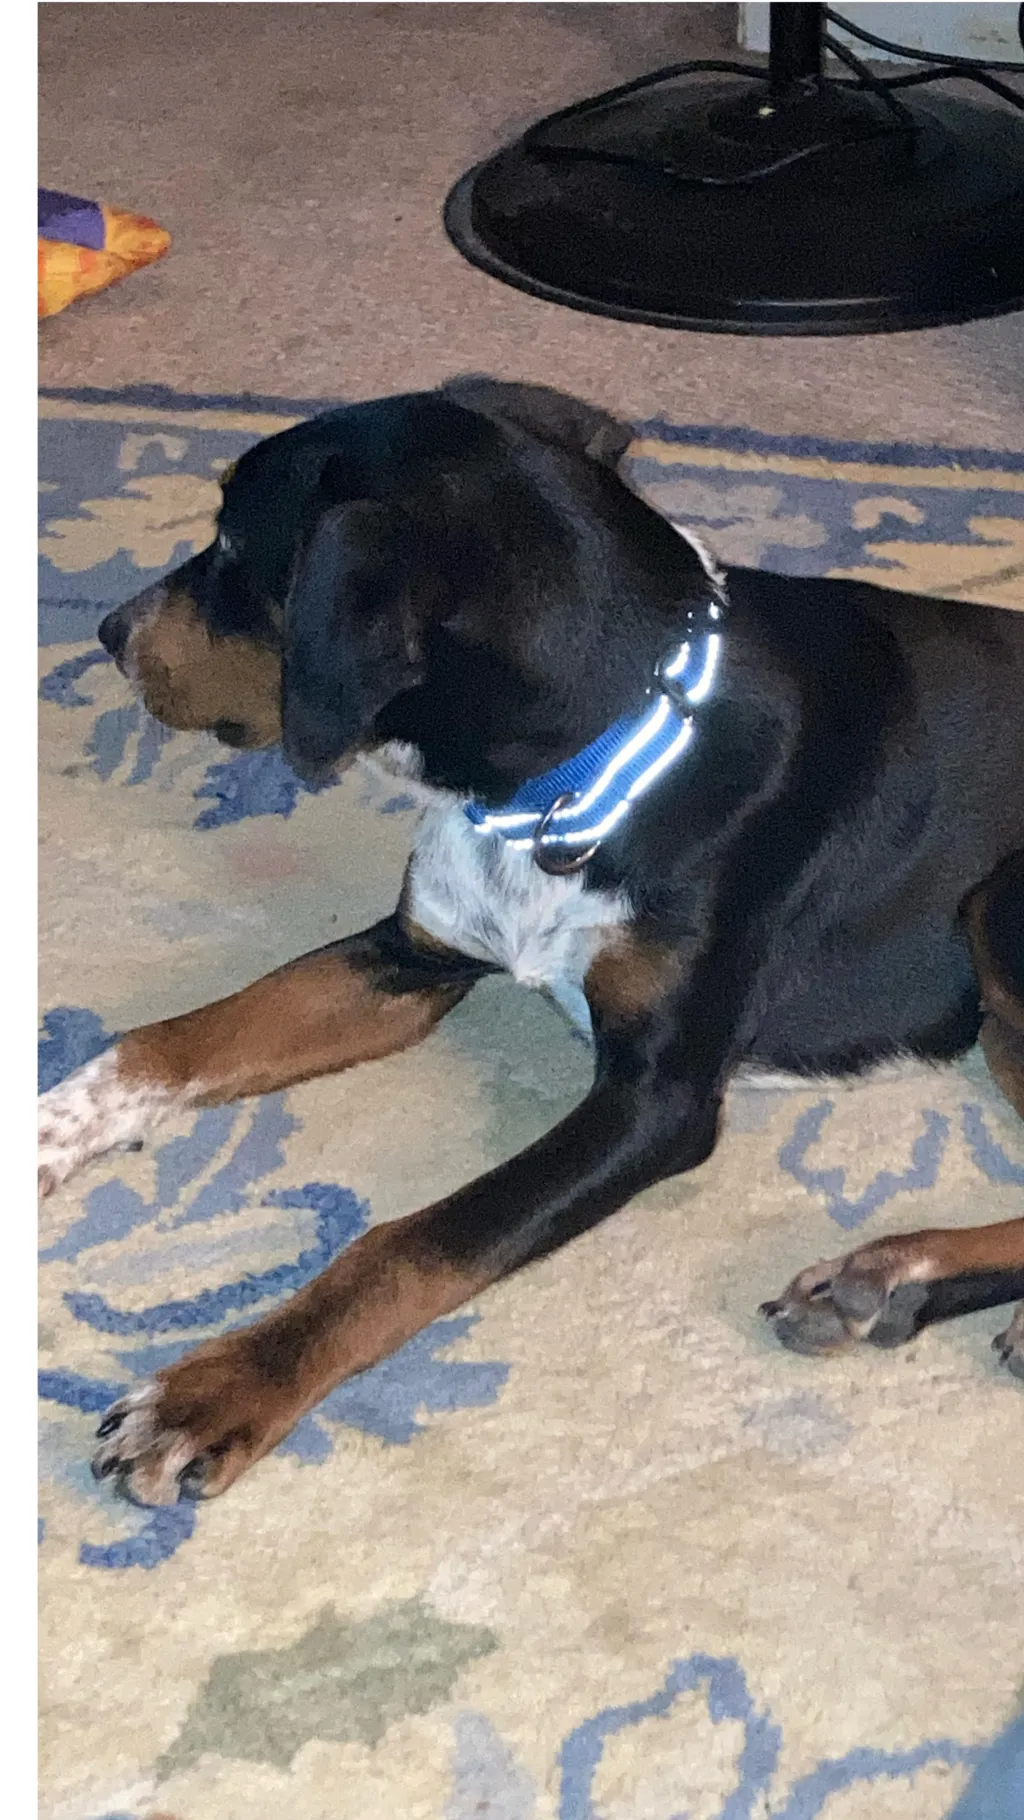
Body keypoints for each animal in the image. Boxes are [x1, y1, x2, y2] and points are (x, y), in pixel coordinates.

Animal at [38, 378, 1024, 1507]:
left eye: (238, 548)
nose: (108, 630)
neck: (571, 780)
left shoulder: (656, 1102)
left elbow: (412, 1243)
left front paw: (216, 1388)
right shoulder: (411, 956)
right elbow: (171, 1041)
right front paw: (39, 1135)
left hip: (996, 907)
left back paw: (893, 1279)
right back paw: (887, 1282)